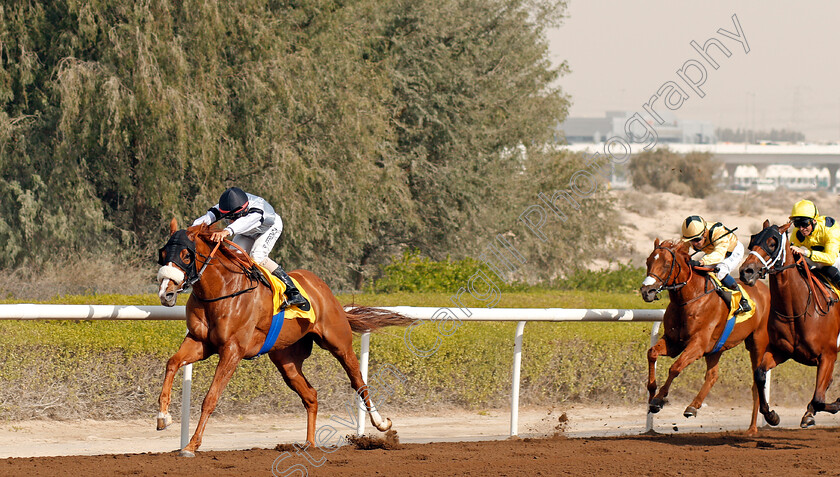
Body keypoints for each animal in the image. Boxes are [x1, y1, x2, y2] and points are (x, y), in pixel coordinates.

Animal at [156, 218, 412, 456]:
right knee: (310, 395)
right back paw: (309, 443)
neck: (223, 289)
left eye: (186, 255)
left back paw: (381, 423)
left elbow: (210, 398)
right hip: (285, 360)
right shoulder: (200, 342)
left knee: (359, 382)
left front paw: (191, 445)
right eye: (162, 254)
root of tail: (322, 287)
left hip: (339, 343)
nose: (165, 294)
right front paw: (163, 417)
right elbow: (172, 363)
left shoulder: (232, 349)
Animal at [640, 238, 772, 432]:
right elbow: (652, 353)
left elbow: (675, 367)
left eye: (665, 264)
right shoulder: (673, 342)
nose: (646, 291)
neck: (689, 299)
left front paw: (658, 399)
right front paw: (652, 394)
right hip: (716, 347)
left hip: (757, 342)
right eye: (648, 262)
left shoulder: (698, 344)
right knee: (712, 376)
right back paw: (692, 406)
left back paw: (753, 428)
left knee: (756, 383)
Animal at [740, 219, 840, 428]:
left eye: (772, 243)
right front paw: (772, 415)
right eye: (753, 239)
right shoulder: (781, 350)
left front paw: (832, 405)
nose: (746, 272)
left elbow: (819, 399)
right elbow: (760, 374)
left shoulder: (828, 355)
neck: (796, 311)